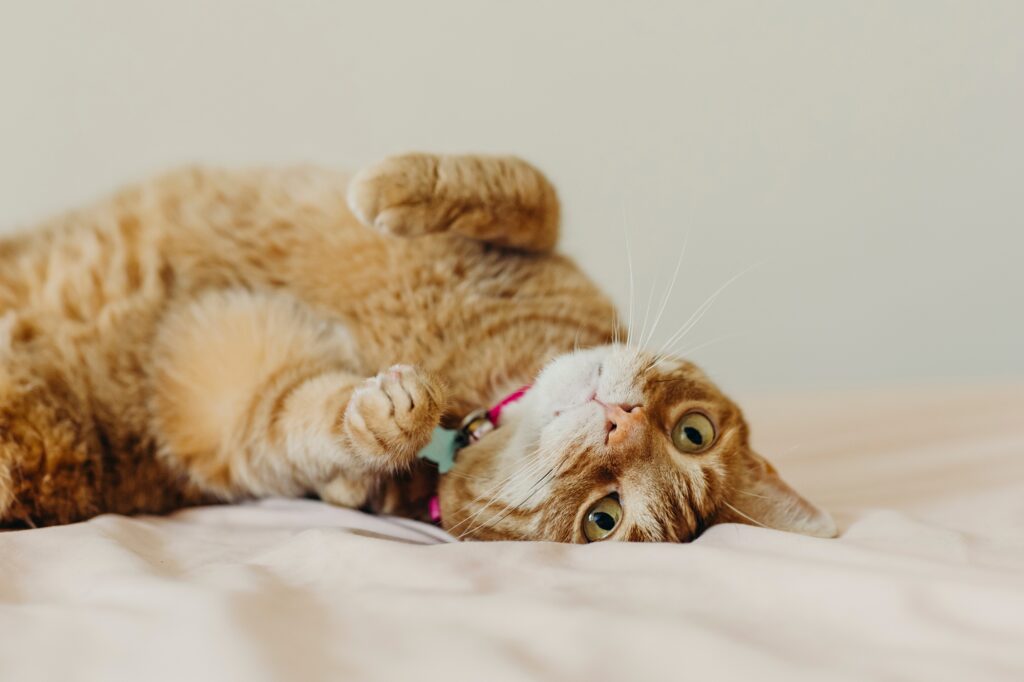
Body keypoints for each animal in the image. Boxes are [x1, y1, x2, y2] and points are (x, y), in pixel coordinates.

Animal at [0, 151, 835, 540]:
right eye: (694, 433)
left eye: (604, 519)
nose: (618, 424)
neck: (473, 391)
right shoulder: (546, 244)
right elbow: (529, 189)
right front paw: (392, 186)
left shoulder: (223, 420)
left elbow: (296, 424)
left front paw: (383, 424)